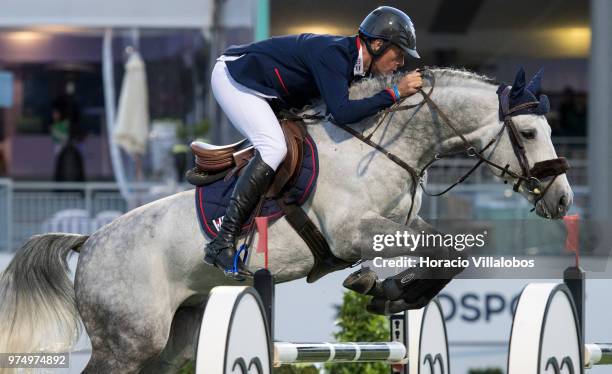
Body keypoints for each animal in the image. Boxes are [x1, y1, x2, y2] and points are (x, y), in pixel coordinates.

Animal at [0, 68, 572, 372]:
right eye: (527, 132)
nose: (563, 199)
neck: (383, 146)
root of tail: (89, 240)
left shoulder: (392, 226)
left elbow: (445, 251)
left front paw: (390, 290)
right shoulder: (351, 231)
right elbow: (449, 247)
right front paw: (384, 287)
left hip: (172, 338)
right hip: (126, 342)